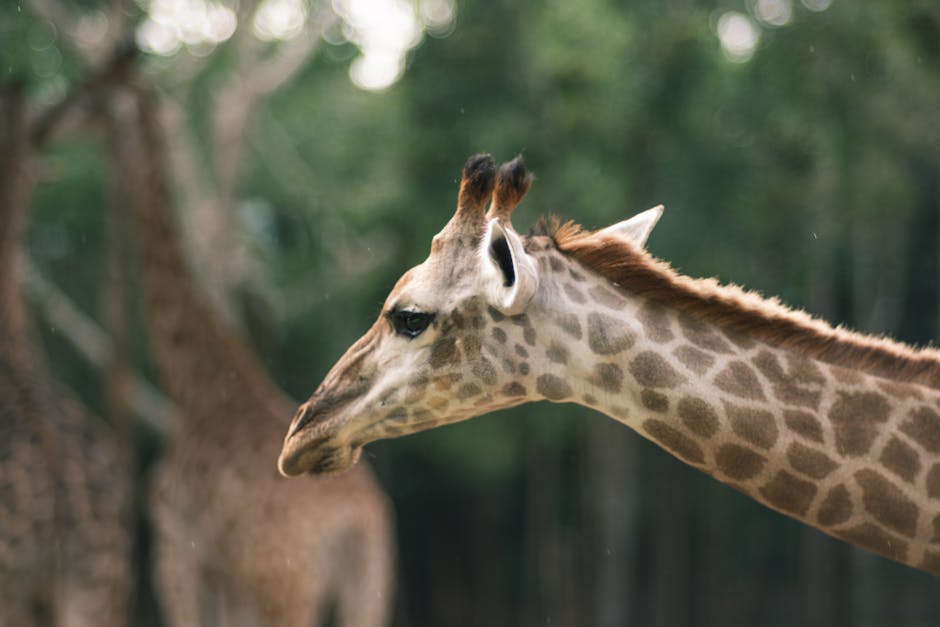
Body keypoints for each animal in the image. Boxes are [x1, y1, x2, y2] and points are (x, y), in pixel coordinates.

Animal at [116, 87, 393, 625]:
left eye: (90, 97)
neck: (194, 386)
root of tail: (355, 517)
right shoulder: (222, 575)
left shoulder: (180, 555)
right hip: (367, 580)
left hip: (281, 579)